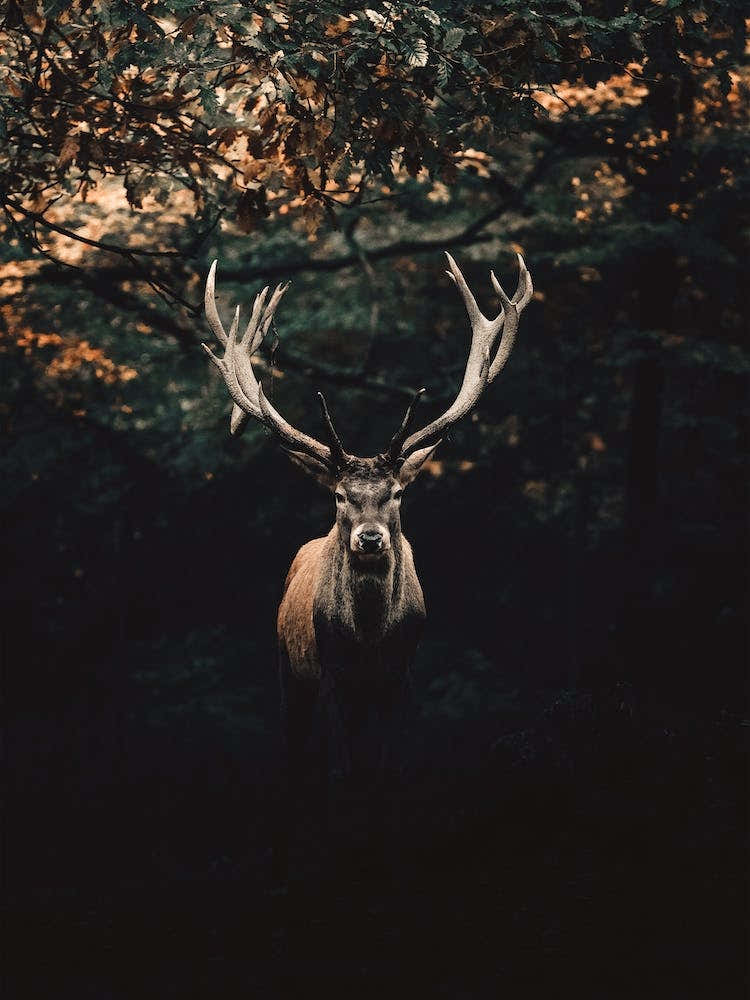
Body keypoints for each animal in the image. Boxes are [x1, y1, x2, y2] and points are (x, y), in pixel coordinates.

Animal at [201, 250, 533, 852]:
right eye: (339, 495)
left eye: (397, 492)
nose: (371, 538)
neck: (371, 640)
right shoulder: (333, 674)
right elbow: (347, 771)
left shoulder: (402, 674)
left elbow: (387, 769)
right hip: (289, 668)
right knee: (299, 755)